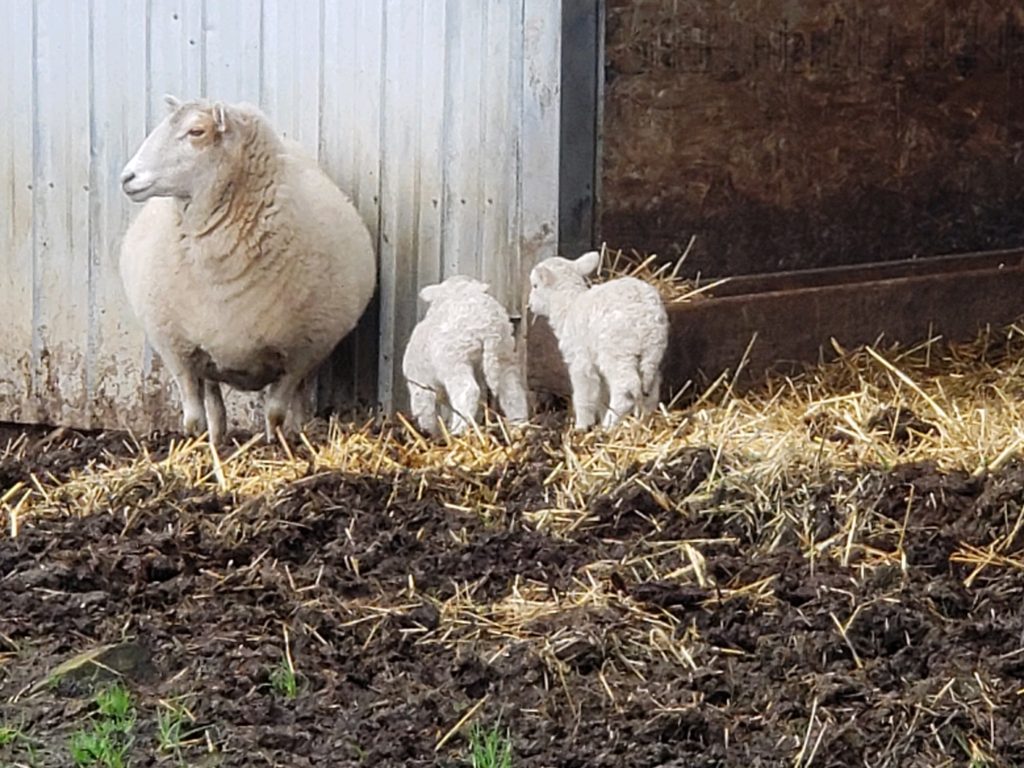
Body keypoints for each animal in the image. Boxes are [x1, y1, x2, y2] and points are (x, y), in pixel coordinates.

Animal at [118, 96, 376, 444]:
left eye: (196, 131)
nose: (127, 177)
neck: (219, 272)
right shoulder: (177, 350)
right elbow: (193, 420)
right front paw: (199, 448)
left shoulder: (300, 353)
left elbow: (275, 413)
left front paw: (275, 446)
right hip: (206, 355)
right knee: (215, 405)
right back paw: (217, 440)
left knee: (296, 403)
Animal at [399, 276, 528, 436]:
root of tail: (490, 328)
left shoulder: (419, 383)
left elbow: (425, 409)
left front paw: (429, 433)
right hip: (504, 353)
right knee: (513, 391)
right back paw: (520, 426)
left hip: (455, 359)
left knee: (468, 391)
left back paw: (457, 431)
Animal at [528, 253, 671, 430]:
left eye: (535, 286)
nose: (530, 305)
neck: (568, 306)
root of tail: (648, 316)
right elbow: (602, 394)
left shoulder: (580, 359)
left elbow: (584, 394)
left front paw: (581, 426)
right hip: (652, 351)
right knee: (651, 388)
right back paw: (645, 420)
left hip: (617, 350)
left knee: (625, 389)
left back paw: (608, 425)